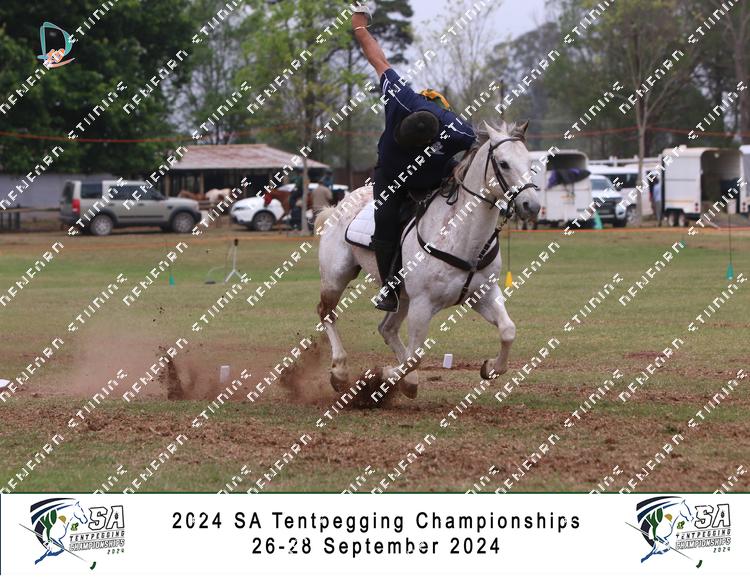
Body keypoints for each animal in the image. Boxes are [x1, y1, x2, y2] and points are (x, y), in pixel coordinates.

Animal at [315, 120, 540, 400]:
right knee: (327, 313)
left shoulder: (484, 294)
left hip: (401, 296)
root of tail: (338, 205)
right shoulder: (422, 305)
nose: (532, 206)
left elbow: (508, 331)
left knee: (387, 328)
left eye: (529, 162)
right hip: (336, 277)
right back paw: (340, 371)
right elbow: (415, 357)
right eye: (504, 163)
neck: (462, 236)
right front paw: (388, 375)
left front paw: (490, 367)